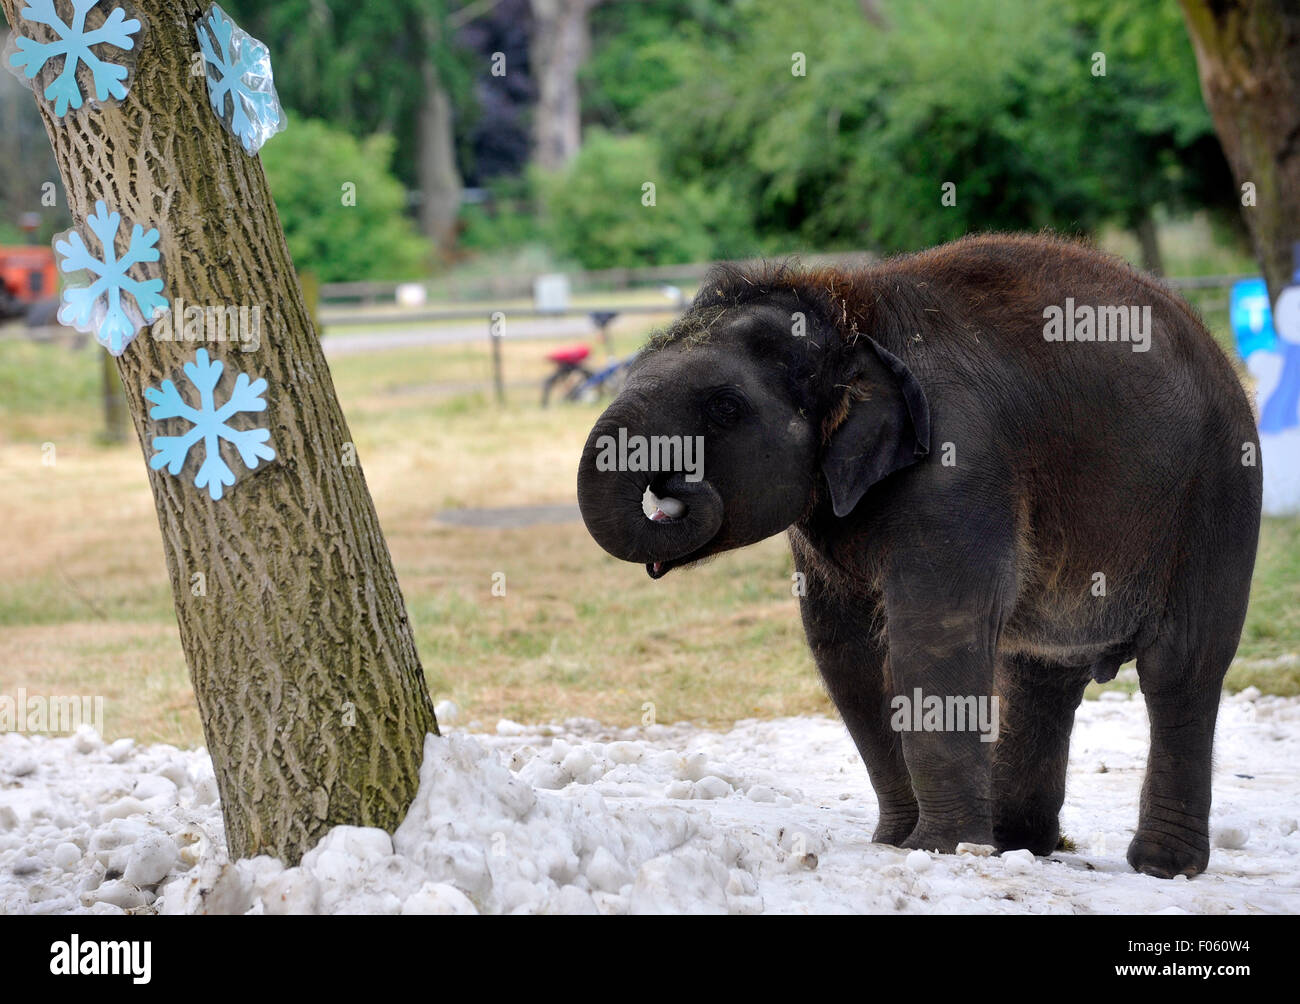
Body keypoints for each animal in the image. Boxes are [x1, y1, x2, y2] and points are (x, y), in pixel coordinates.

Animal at [577, 235, 1258, 879]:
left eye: (724, 407)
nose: (673, 489)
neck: (849, 312)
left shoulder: (958, 465)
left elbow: (933, 634)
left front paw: (941, 849)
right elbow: (844, 647)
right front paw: (899, 840)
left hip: (1218, 496)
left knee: (1180, 667)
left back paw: (1161, 867)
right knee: (1041, 673)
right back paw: (1018, 843)